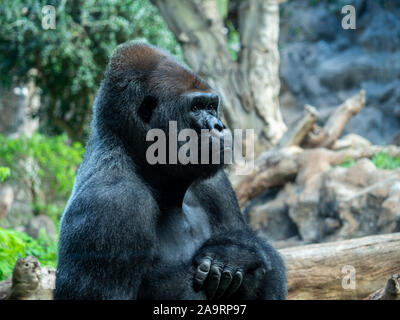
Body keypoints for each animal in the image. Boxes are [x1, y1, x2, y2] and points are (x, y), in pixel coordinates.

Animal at [54, 42, 286, 300]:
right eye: (196, 107)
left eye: (211, 106)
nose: (219, 126)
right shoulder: (112, 203)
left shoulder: (215, 184)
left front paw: (238, 252)